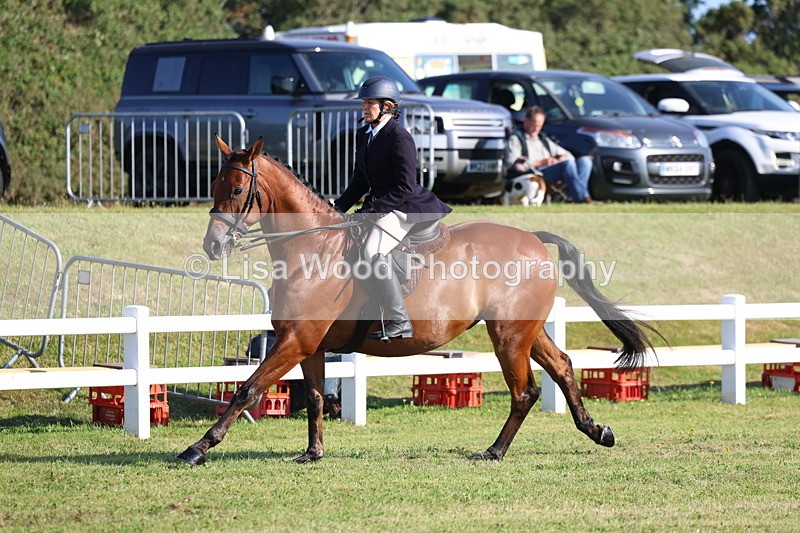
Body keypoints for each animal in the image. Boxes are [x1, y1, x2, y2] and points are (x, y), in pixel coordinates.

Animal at [177, 135, 661, 465]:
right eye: (214, 185)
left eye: (236, 191)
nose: (212, 246)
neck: (311, 247)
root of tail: (533, 239)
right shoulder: (307, 344)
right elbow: (313, 399)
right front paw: (312, 453)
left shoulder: (296, 340)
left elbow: (247, 389)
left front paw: (198, 448)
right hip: (524, 330)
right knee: (561, 366)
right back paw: (597, 430)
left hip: (508, 335)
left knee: (524, 391)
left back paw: (495, 451)